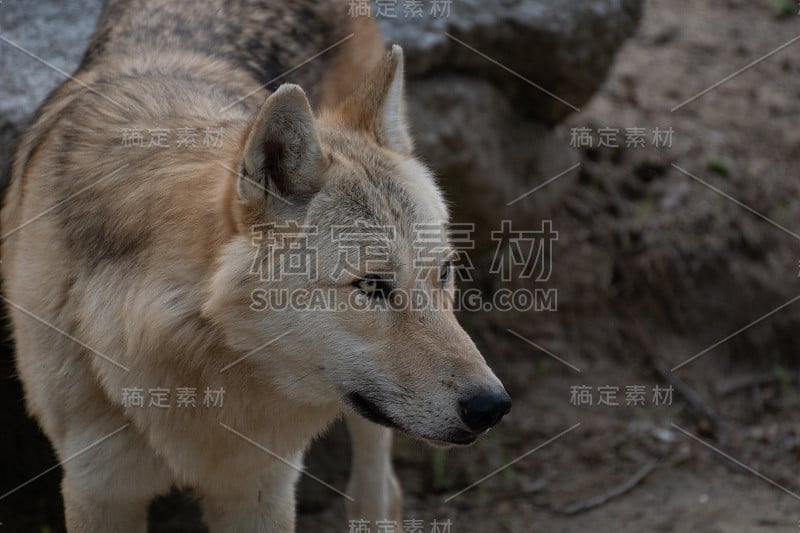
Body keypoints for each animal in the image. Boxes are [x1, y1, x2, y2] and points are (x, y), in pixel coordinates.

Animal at [0, 2, 512, 528]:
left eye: (443, 272)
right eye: (370, 286)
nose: (492, 406)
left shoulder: (260, 488)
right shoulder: (99, 491)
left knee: (379, 488)